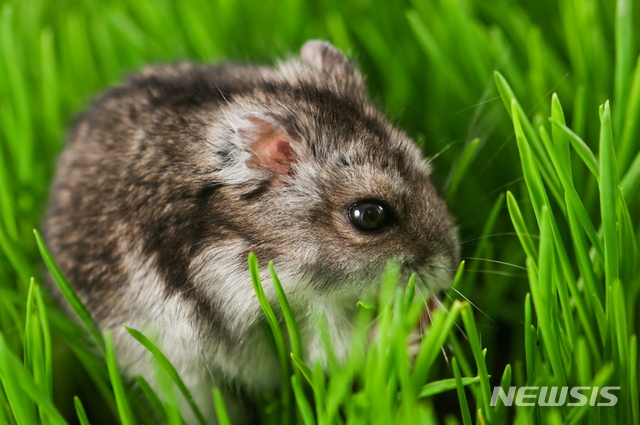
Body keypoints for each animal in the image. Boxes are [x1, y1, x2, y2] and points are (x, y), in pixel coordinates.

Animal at [42, 39, 458, 420]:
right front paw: (416, 327)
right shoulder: (254, 306)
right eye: (369, 215)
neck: (259, 242)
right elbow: (333, 347)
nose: (450, 268)